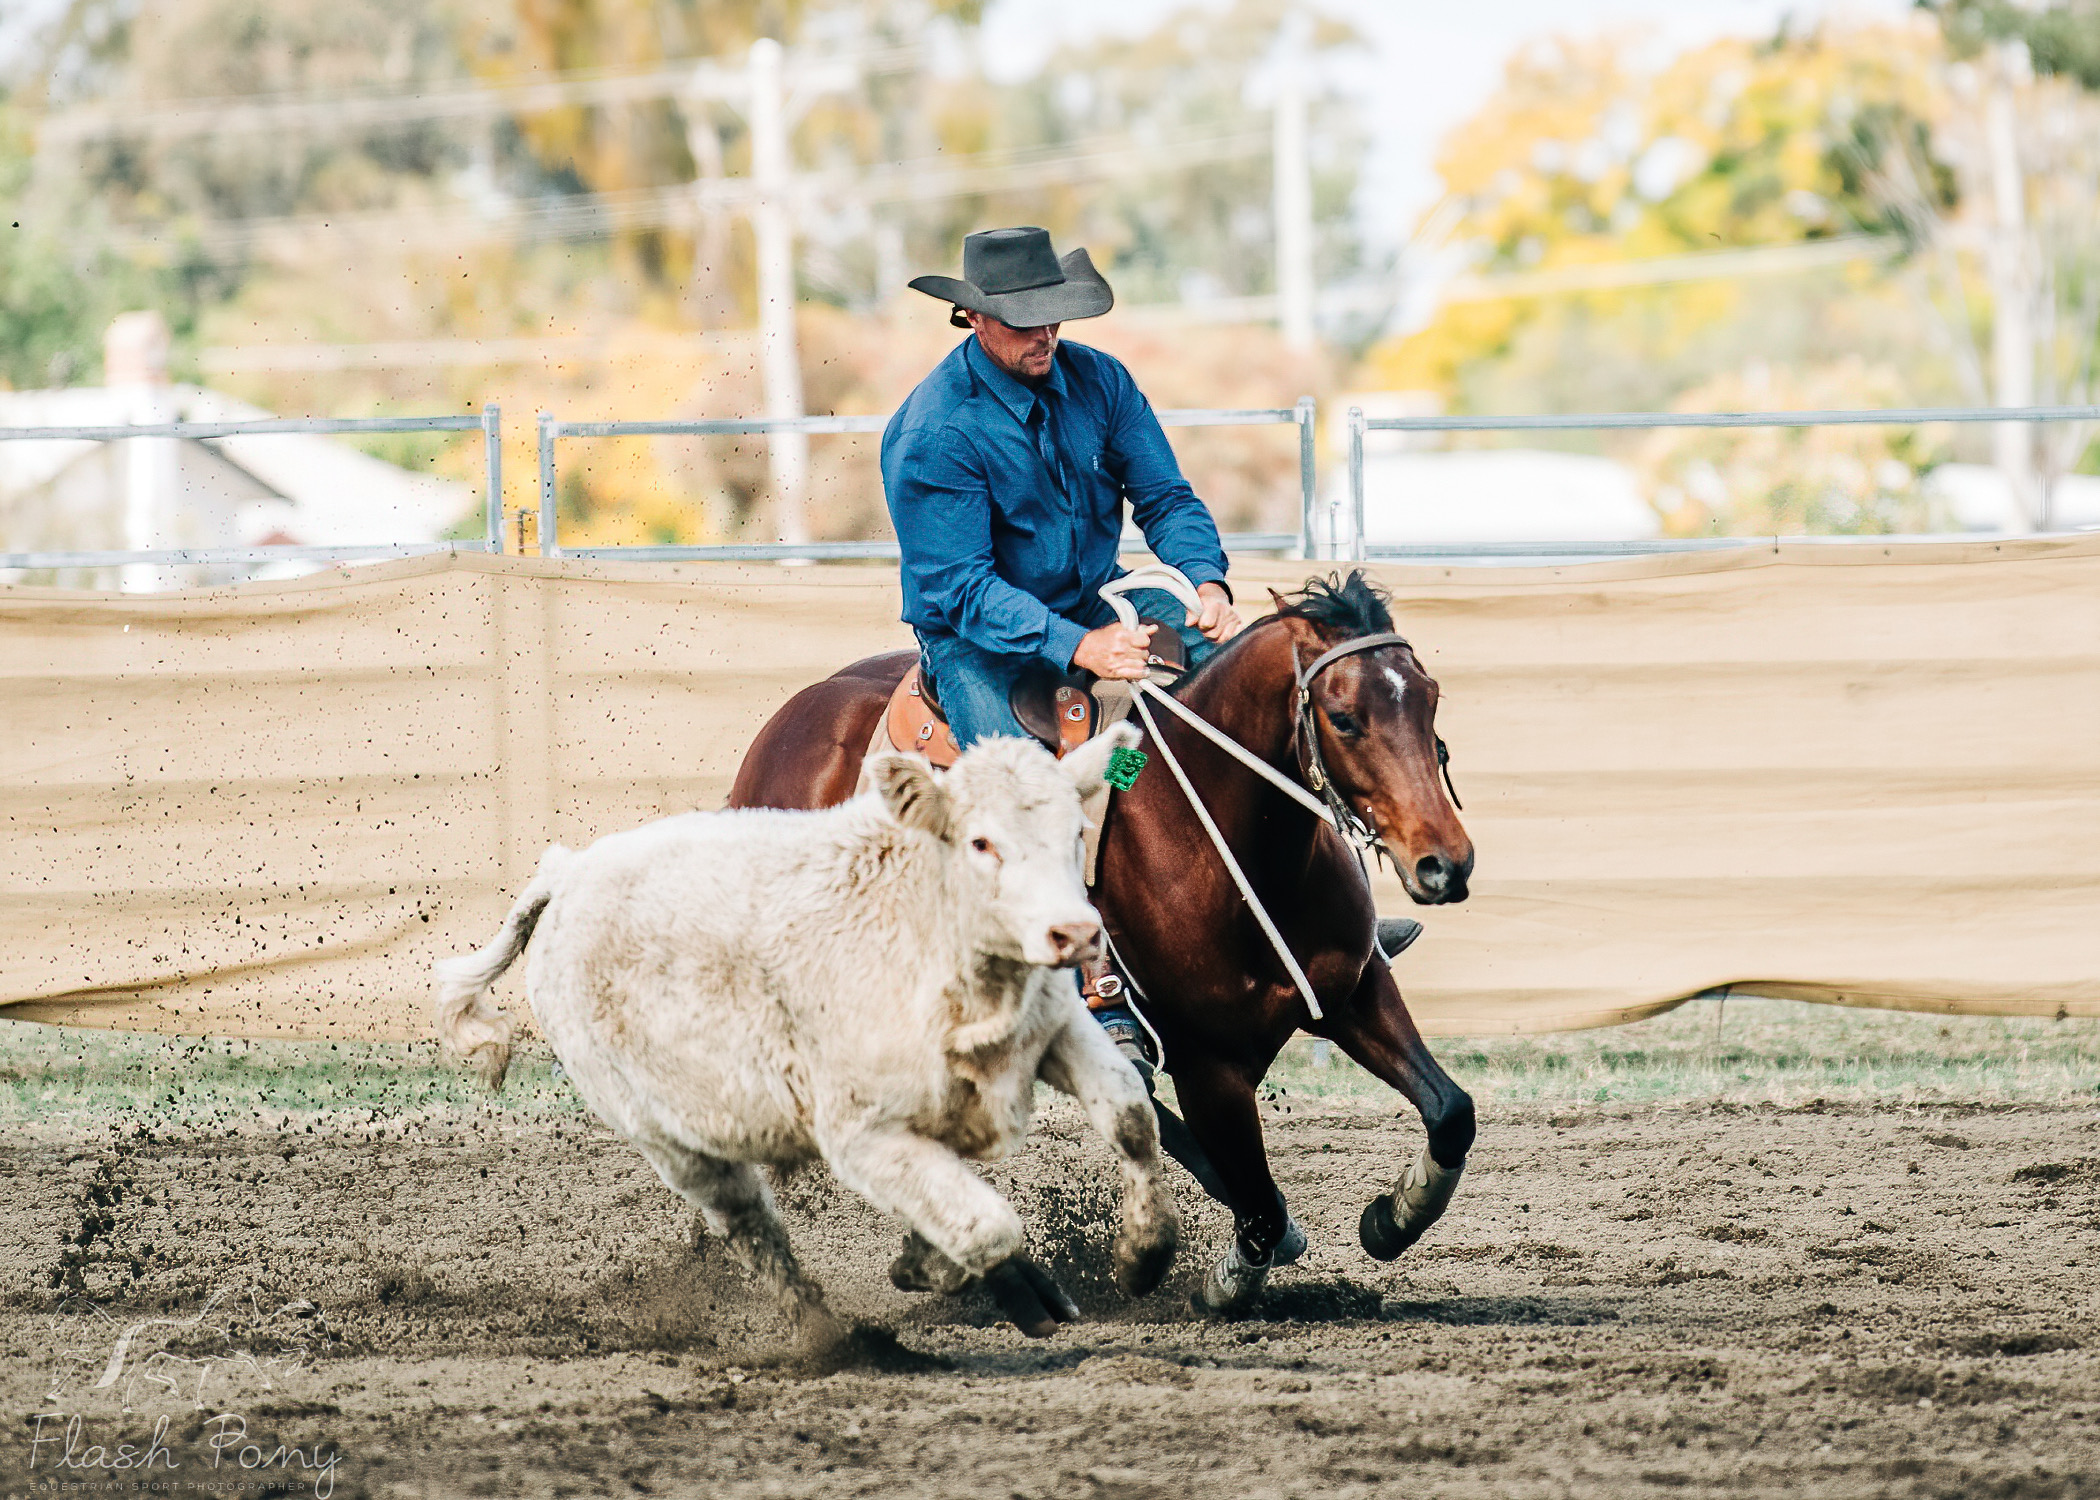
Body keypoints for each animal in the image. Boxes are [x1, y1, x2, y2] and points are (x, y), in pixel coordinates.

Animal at [432, 725, 1176, 1349]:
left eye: (1077, 832)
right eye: (981, 842)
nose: (1074, 933)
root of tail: (568, 873)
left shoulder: (1055, 1031)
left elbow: (1132, 1115)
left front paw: (1143, 1258)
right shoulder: (859, 1133)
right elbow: (989, 1225)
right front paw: (1000, 1284)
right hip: (671, 1141)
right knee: (755, 1230)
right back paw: (834, 1340)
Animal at [727, 569, 1477, 1313]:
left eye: (1431, 700)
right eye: (1344, 718)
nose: (1446, 864)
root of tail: (787, 730)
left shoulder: (1355, 992)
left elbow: (1452, 1113)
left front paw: (1394, 1217)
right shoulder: (1206, 1062)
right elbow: (1256, 1200)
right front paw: (1229, 1279)